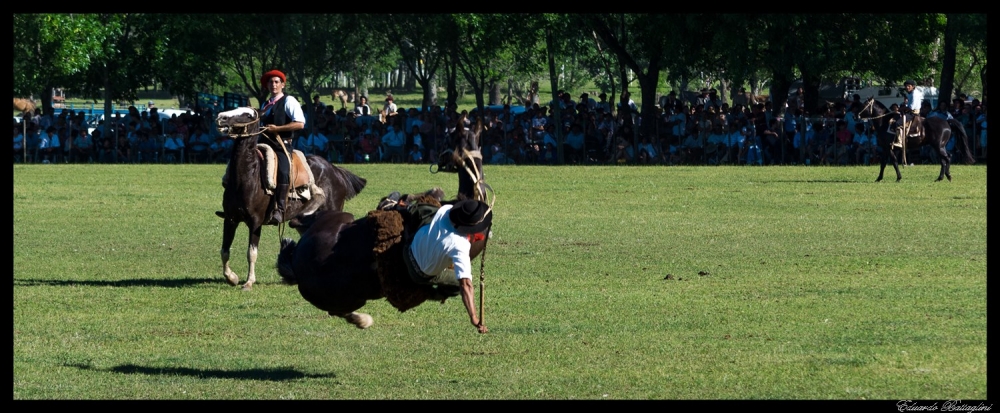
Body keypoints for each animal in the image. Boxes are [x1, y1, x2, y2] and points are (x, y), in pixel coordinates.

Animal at [215, 108, 368, 292]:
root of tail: (336, 170)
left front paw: (249, 282)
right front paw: (232, 278)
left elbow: (251, 253)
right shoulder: (230, 219)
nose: (221, 117)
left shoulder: (255, 222)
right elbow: (224, 251)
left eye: (248, 115)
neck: (247, 176)